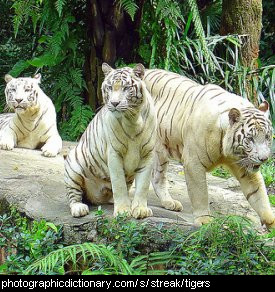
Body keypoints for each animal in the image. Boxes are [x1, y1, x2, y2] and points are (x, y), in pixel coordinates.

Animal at [63, 64, 156, 219]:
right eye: (110, 87)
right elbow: (118, 184)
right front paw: (123, 210)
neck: (133, 120)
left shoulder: (148, 154)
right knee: (73, 196)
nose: (114, 103)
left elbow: (143, 185)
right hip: (73, 166)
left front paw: (140, 209)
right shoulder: (114, 153)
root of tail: (96, 198)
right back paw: (79, 208)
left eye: (126, 88)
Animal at [143, 68, 274, 228]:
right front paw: (204, 220)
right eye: (250, 139)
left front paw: (271, 222)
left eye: (267, 137)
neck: (227, 151)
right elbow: (200, 193)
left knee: (157, 177)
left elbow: (259, 193)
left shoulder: (245, 166)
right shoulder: (193, 162)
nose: (264, 158)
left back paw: (169, 203)